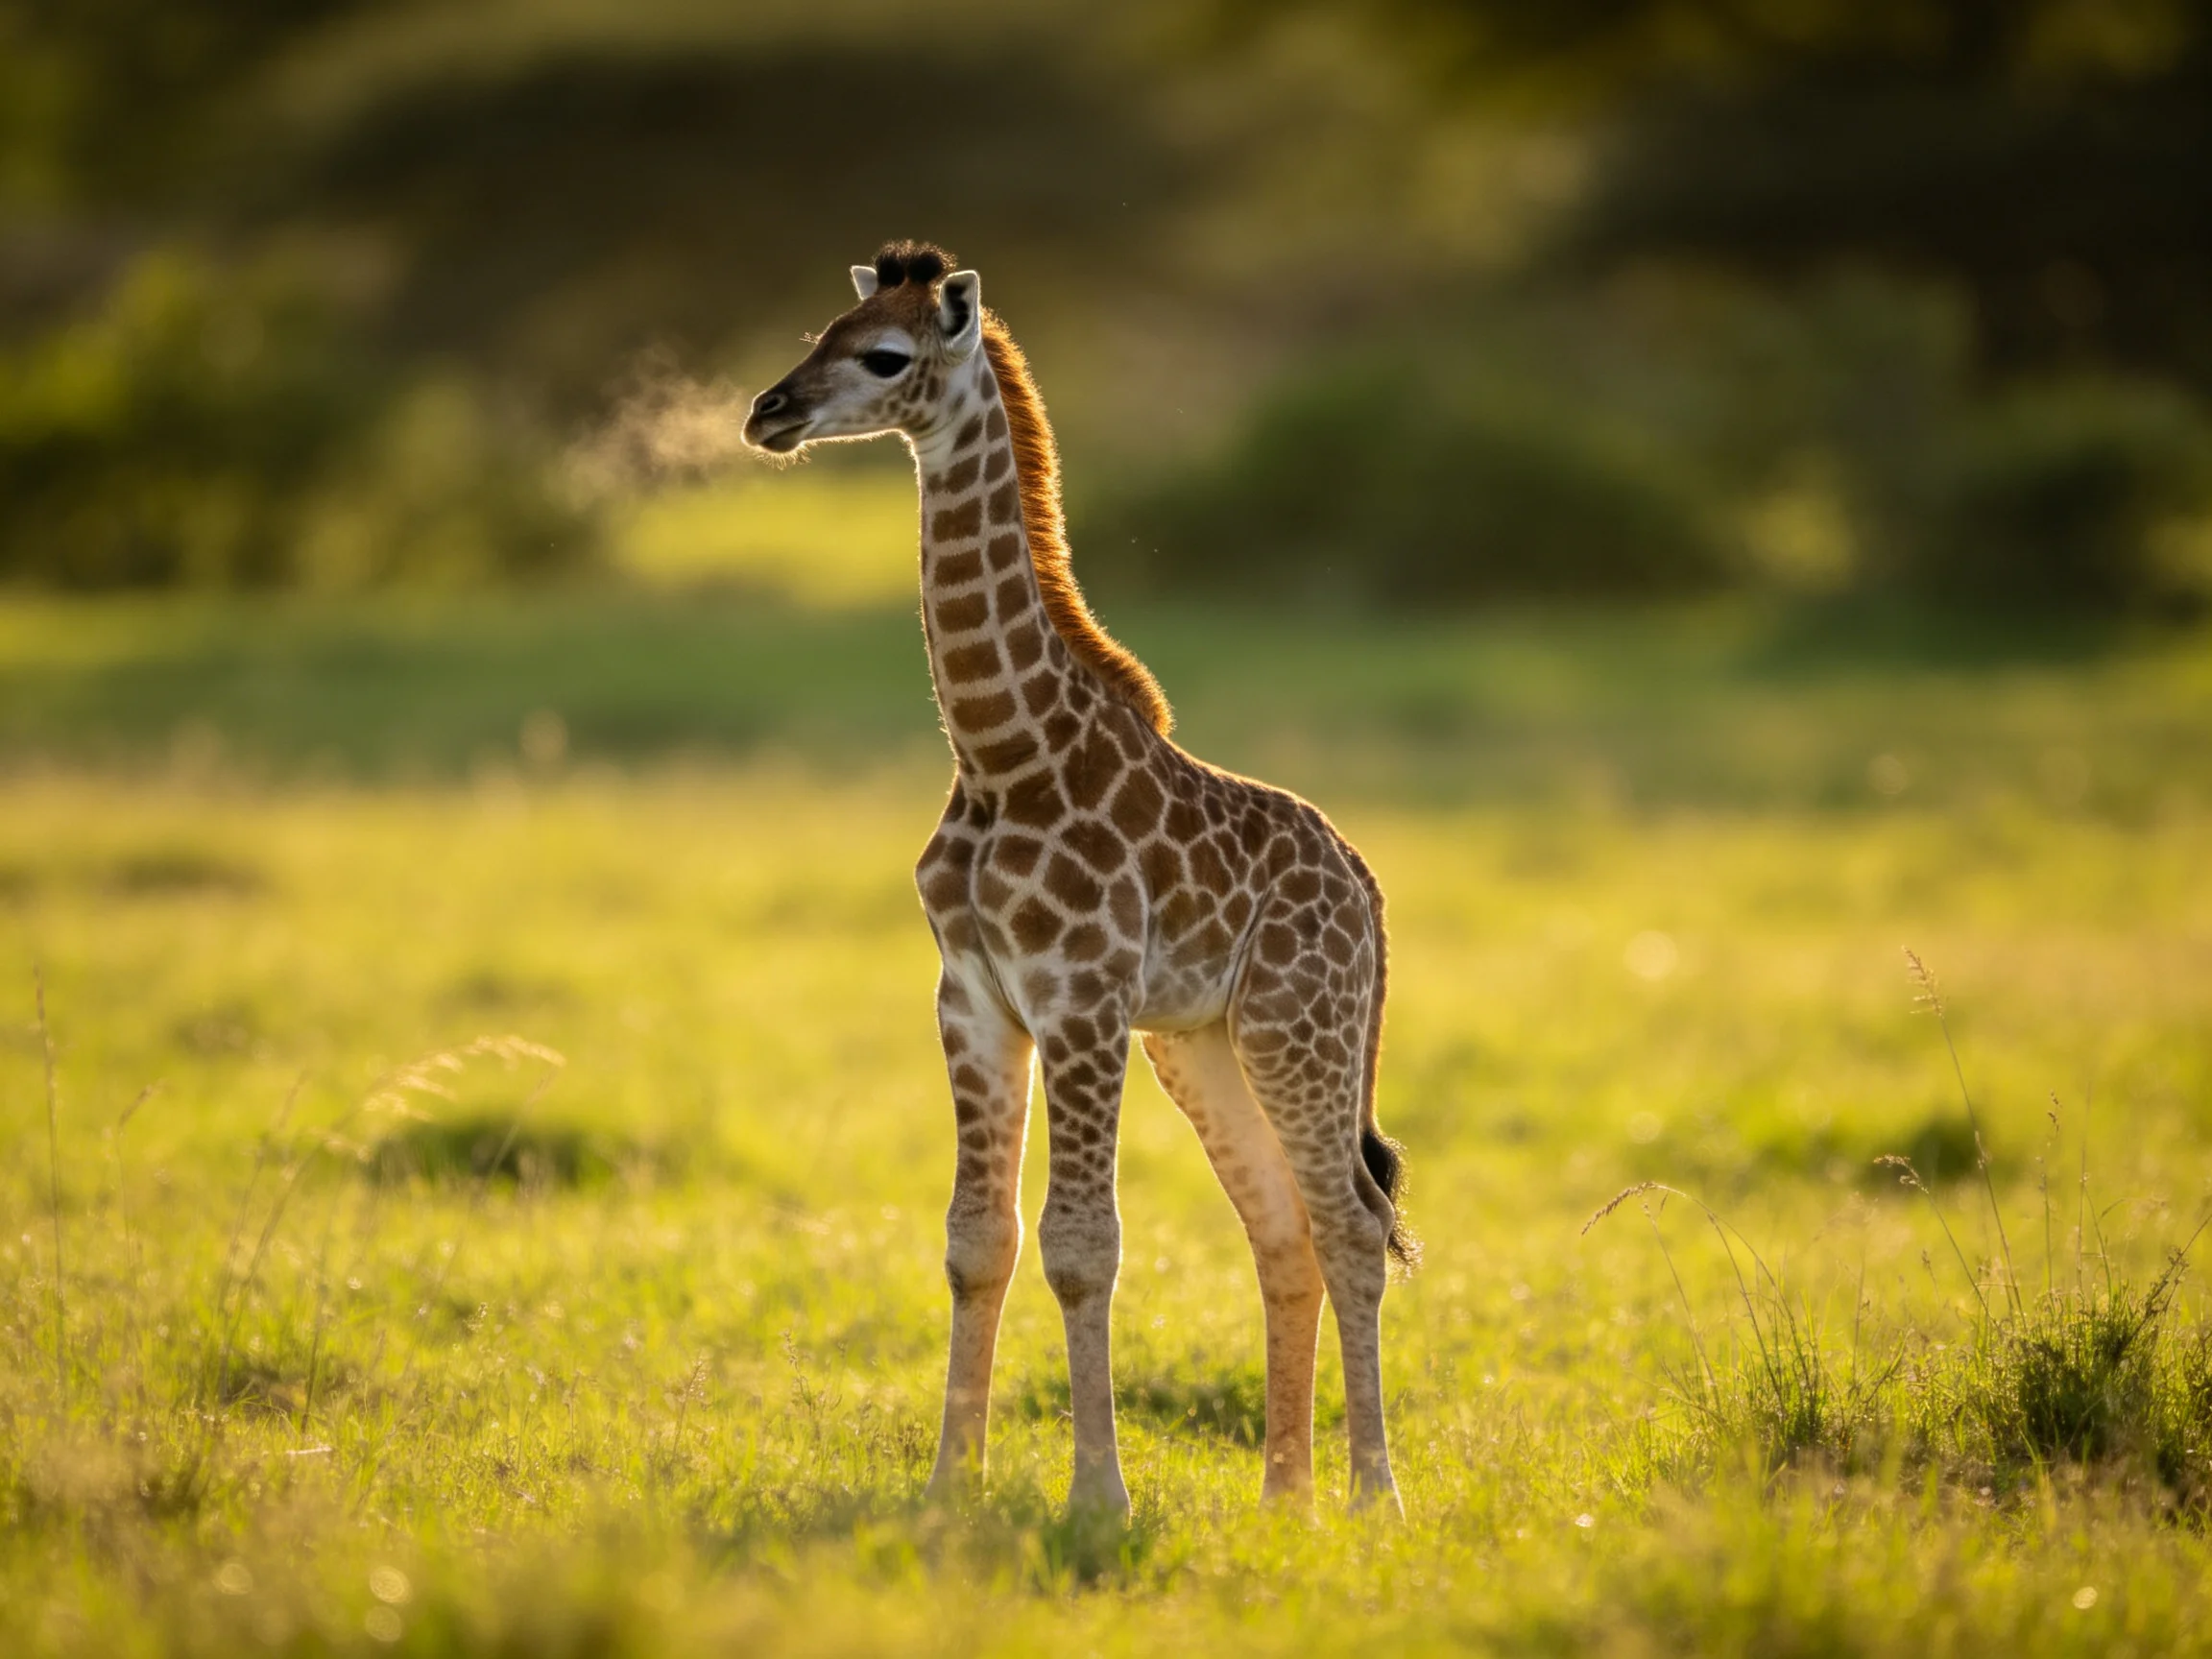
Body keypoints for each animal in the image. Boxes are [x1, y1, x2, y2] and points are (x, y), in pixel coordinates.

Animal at [742, 242, 1413, 1517]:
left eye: (884, 355)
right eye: (823, 331)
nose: (768, 412)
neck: (1005, 752)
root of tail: (1367, 888)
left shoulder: (1082, 998)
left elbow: (1082, 1244)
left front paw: (1097, 1497)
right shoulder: (973, 998)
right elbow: (978, 1240)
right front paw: (949, 1487)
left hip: (1301, 1027)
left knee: (1354, 1226)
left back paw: (1371, 1500)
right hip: (1204, 1045)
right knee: (1285, 1232)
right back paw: (1283, 1502)